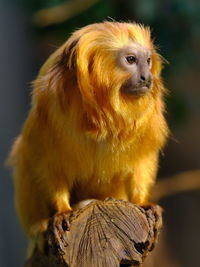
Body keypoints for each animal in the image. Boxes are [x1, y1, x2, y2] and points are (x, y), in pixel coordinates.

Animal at [7, 22, 168, 248]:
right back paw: (39, 225)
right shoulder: (49, 106)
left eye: (147, 61)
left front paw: (143, 202)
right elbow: (46, 161)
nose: (147, 78)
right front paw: (61, 211)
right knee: (24, 155)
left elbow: (141, 160)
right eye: (131, 60)